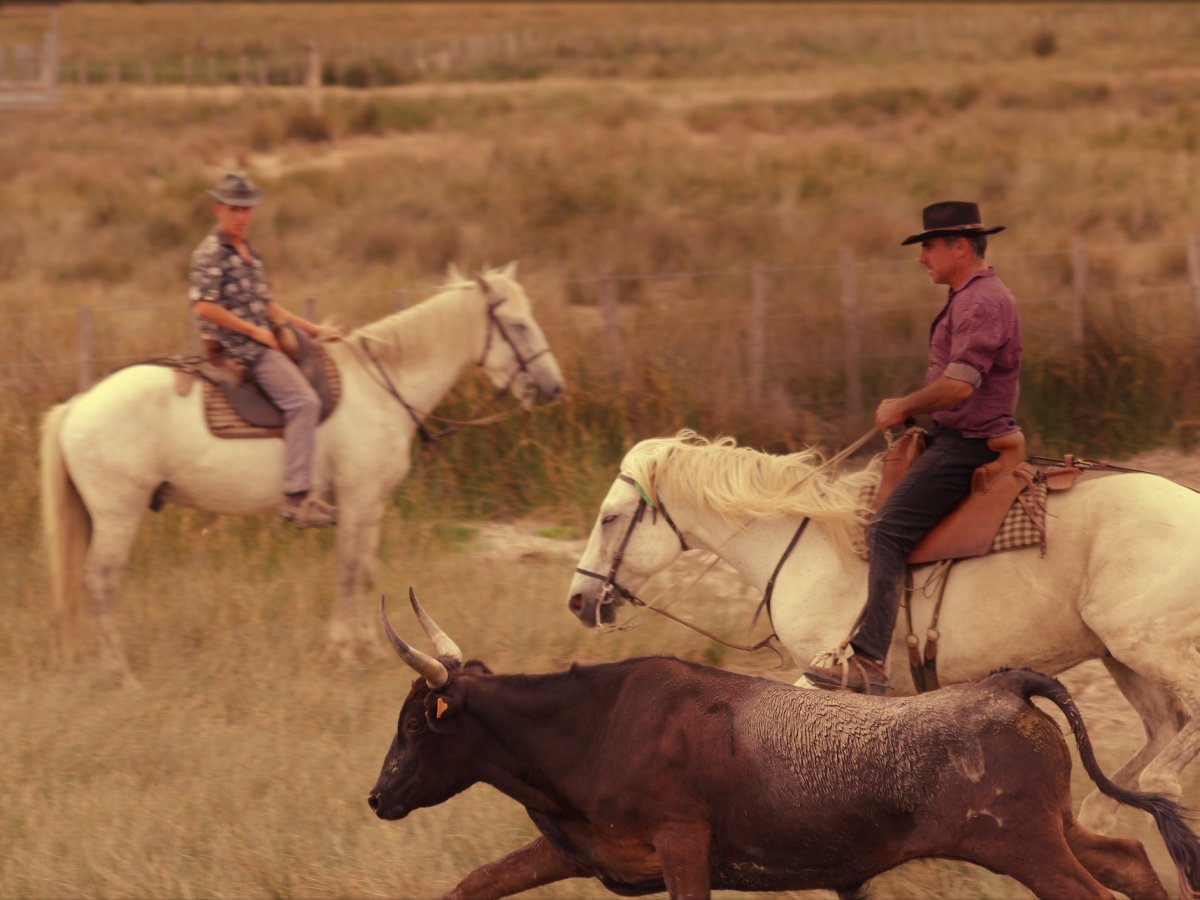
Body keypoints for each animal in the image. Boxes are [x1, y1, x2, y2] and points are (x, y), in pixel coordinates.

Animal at [46, 264, 566, 681]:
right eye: (518, 325)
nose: (553, 387)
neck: (381, 388)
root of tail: (77, 405)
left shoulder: (371, 503)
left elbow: (366, 573)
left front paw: (368, 648)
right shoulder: (356, 498)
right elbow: (348, 571)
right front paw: (345, 651)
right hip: (118, 514)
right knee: (100, 582)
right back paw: (120, 672)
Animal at [367, 592, 1200, 900]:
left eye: (413, 725)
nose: (378, 796)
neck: (596, 724)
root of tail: (1007, 687)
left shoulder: (683, 842)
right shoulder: (584, 850)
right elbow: (475, 883)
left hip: (1024, 847)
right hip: (1056, 830)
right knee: (1130, 859)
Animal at [566, 434, 1200, 835]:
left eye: (610, 517)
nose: (578, 600)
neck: (805, 543)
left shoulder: (826, 678)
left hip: (1145, 646)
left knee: (1173, 748)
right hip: (1122, 657)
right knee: (1157, 740)